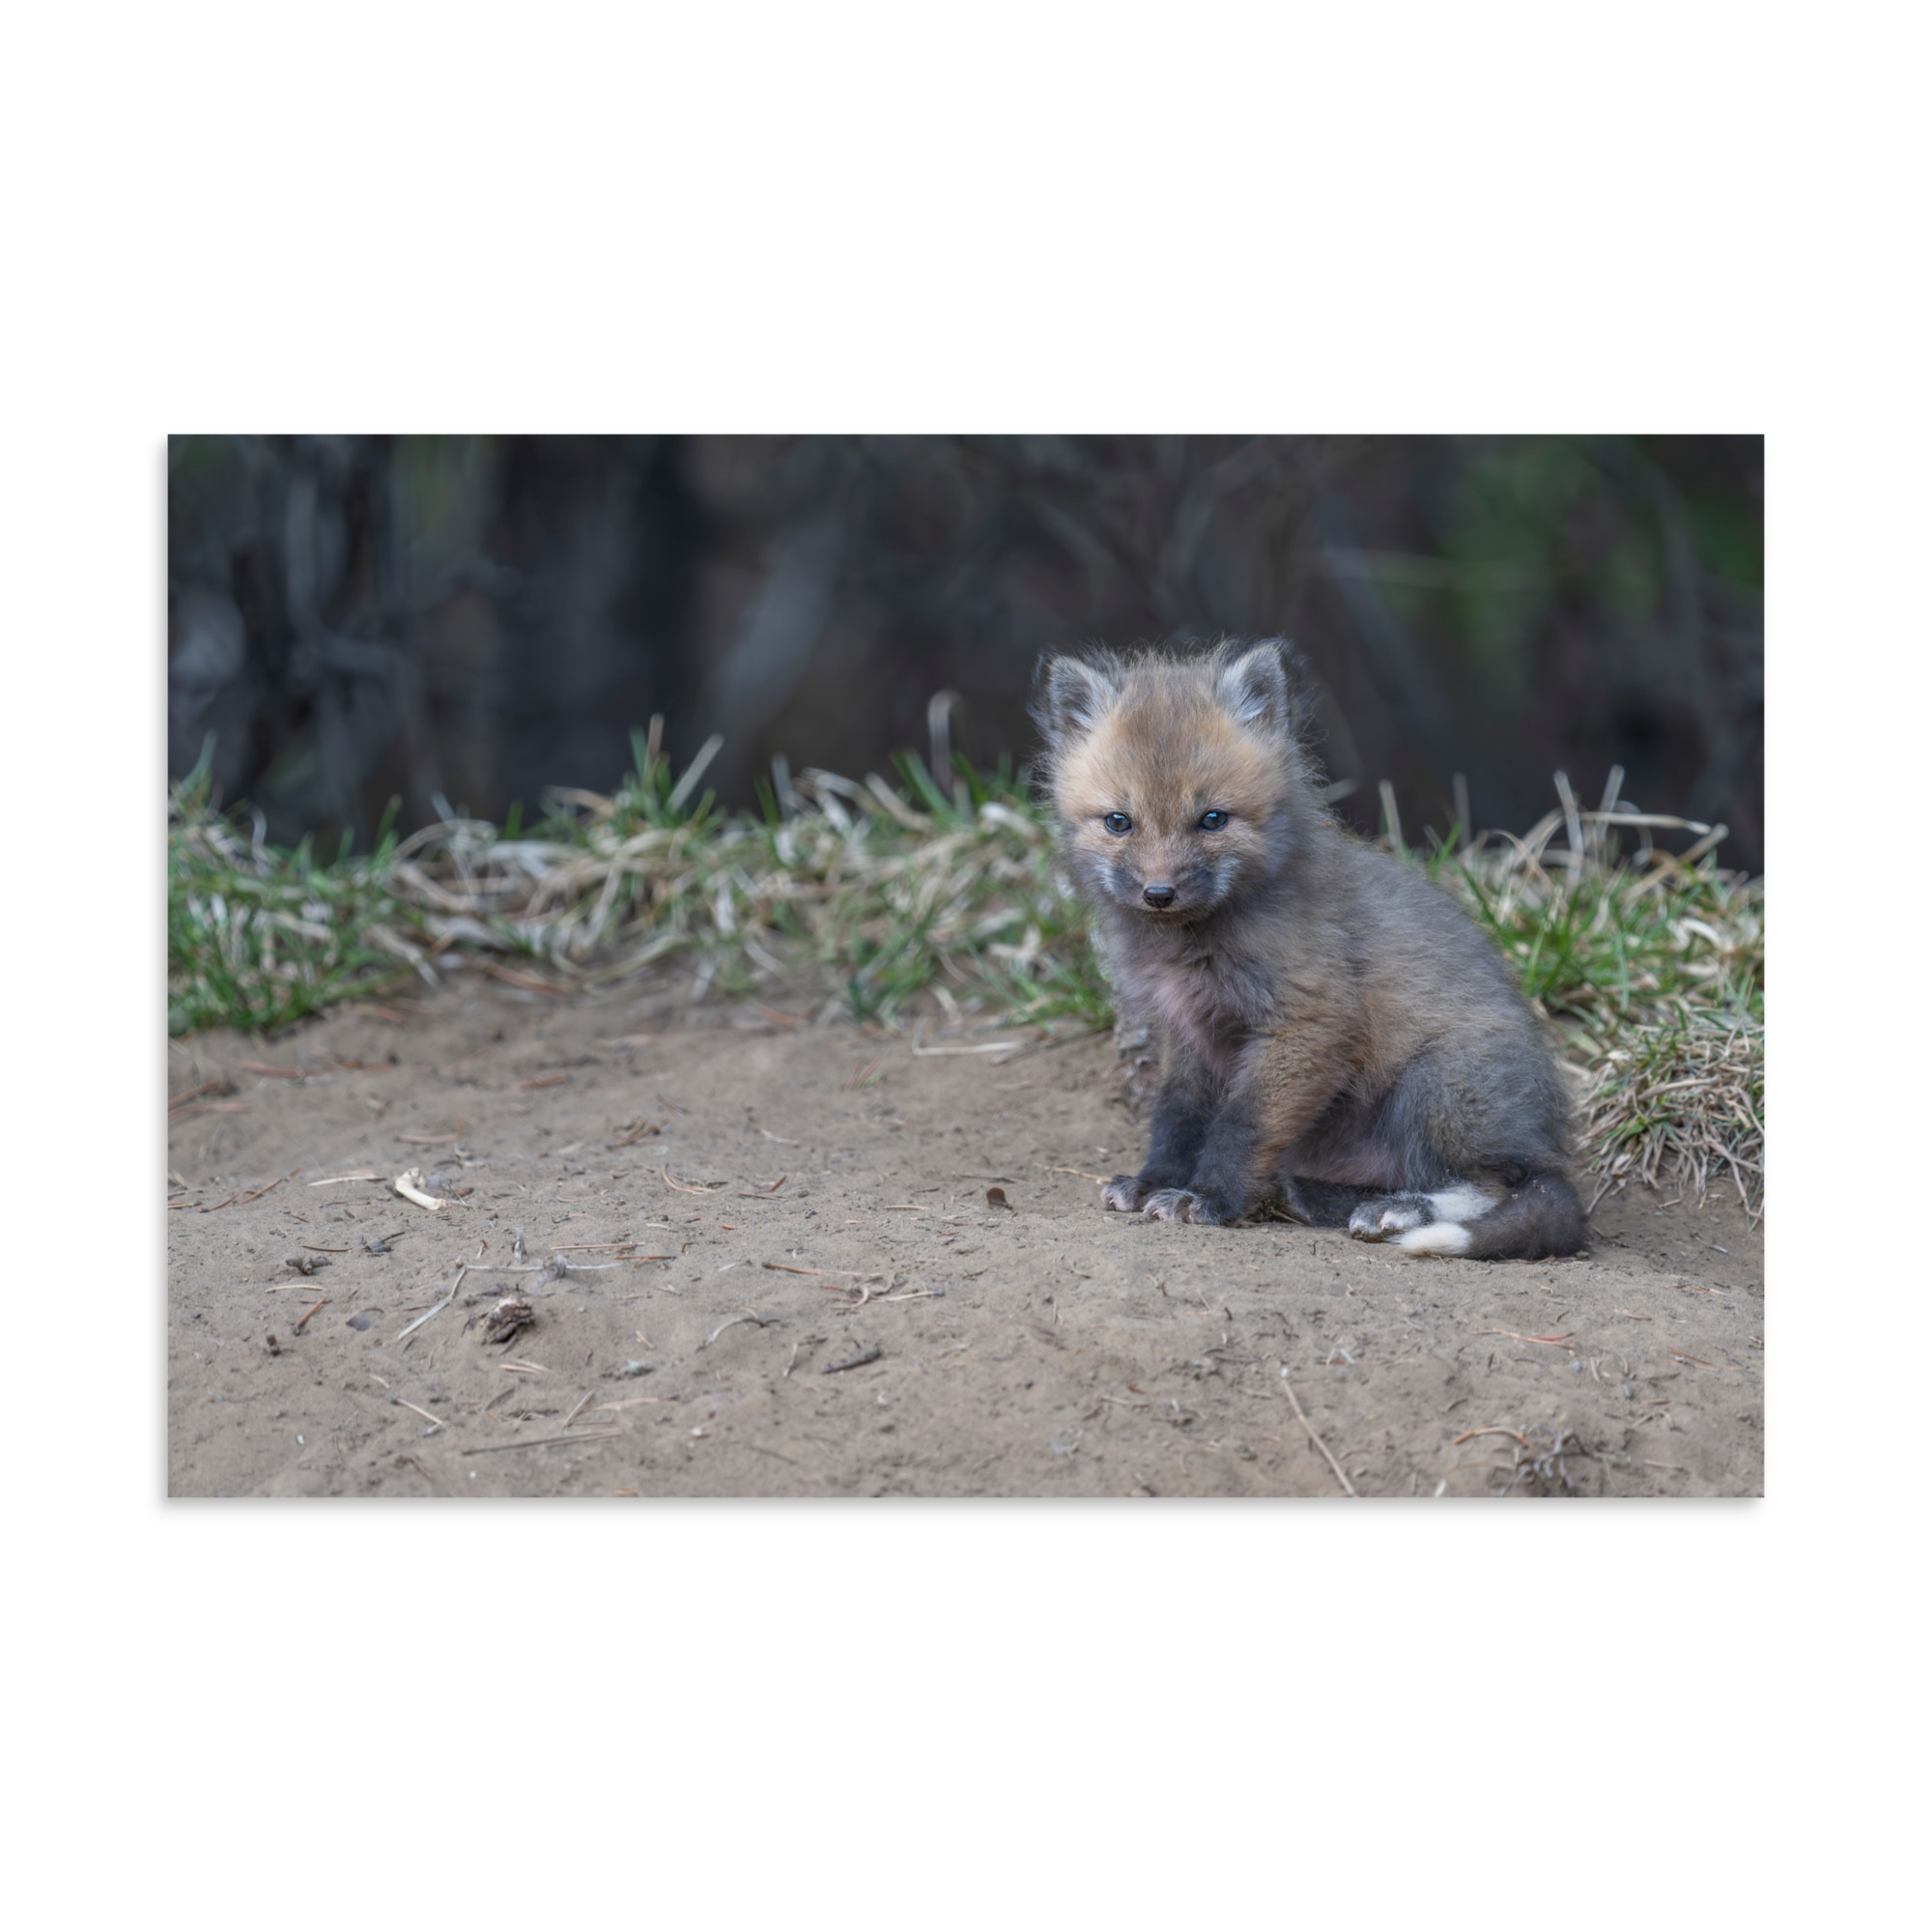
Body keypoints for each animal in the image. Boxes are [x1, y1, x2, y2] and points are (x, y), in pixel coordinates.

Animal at [1032, 638, 1586, 1261]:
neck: (1192, 946)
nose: (1159, 893)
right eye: (1119, 822)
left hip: (1436, 1086)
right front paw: (1155, 1182)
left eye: (1212, 819)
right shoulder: (1189, 1033)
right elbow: (1177, 1118)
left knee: (1499, 1185)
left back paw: (1400, 1211)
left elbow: (1240, 1125)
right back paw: (1315, 1196)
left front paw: (1209, 1199)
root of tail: (1548, 1143)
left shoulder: (1307, 1022)